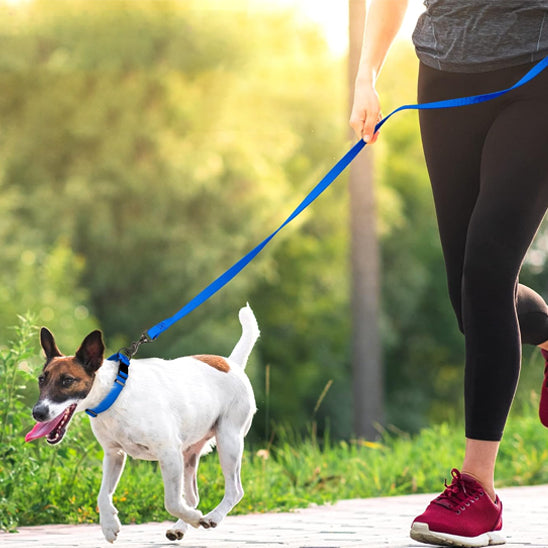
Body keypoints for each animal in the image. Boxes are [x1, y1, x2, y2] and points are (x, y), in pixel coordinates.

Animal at [24, 306, 260, 540]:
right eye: (41, 379)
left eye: (67, 381)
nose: (38, 412)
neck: (115, 393)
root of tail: (232, 363)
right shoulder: (114, 454)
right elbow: (103, 495)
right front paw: (109, 525)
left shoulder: (169, 453)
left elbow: (172, 502)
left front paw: (195, 518)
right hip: (189, 454)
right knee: (193, 497)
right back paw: (180, 527)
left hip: (228, 440)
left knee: (234, 490)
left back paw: (211, 517)